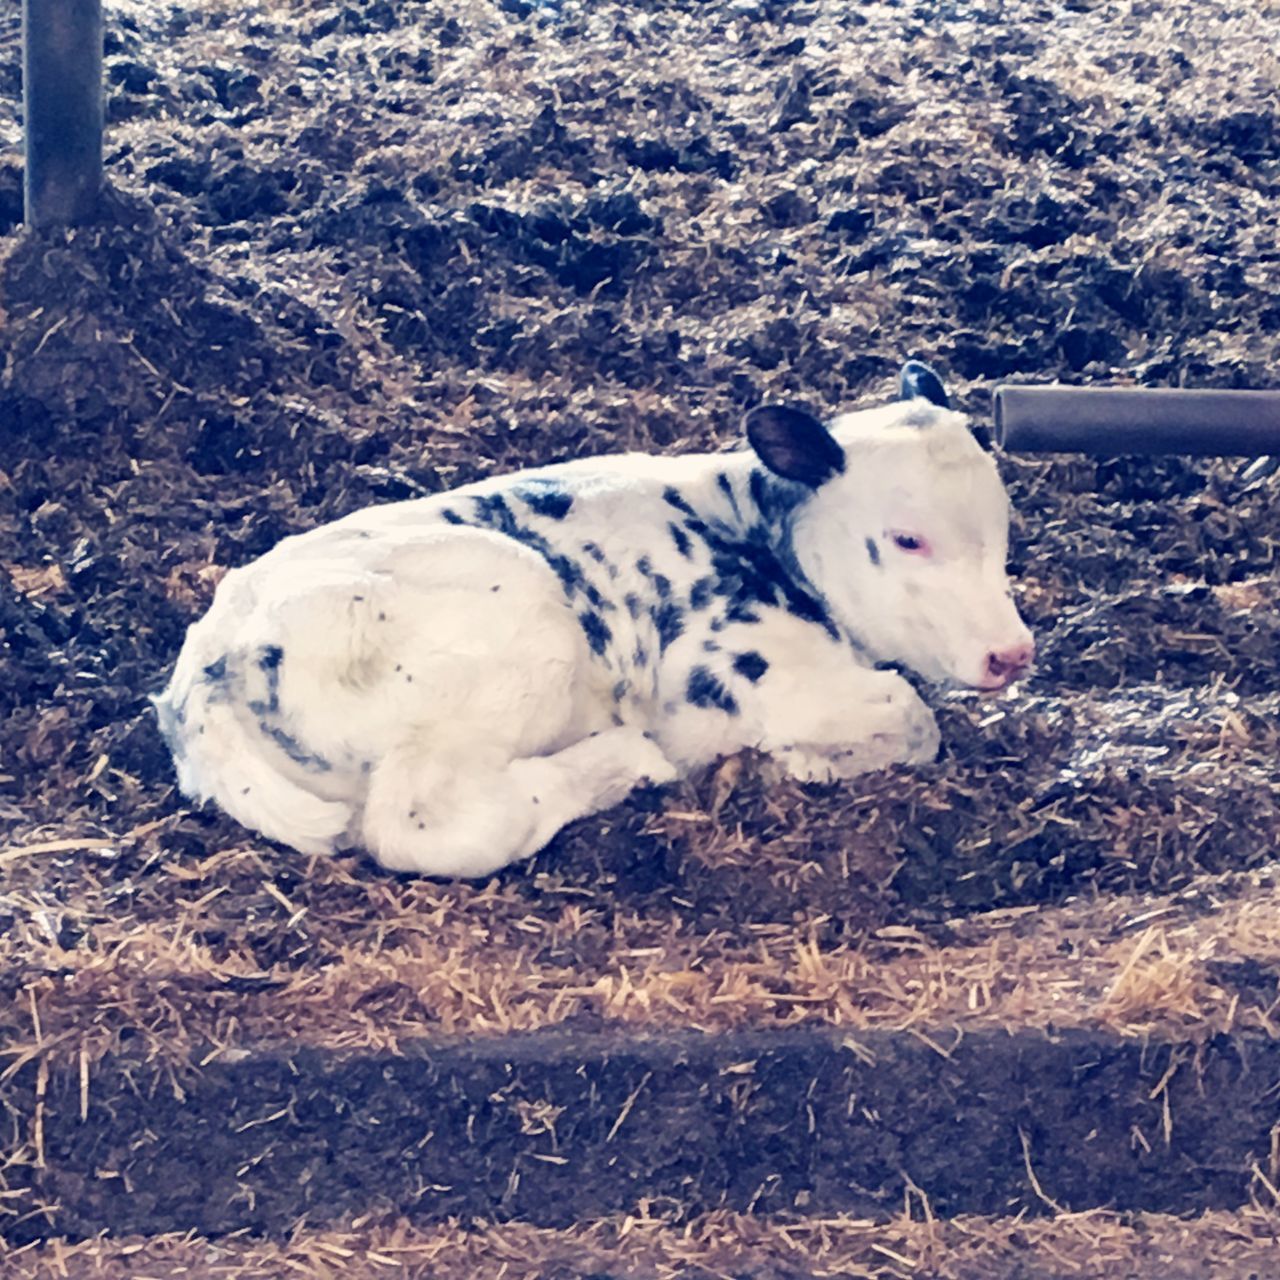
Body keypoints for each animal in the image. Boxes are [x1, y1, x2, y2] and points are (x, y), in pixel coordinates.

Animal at [154, 366, 1034, 875]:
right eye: (907, 538)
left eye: (1004, 526)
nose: (1012, 654)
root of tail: (209, 669)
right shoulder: (748, 677)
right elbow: (914, 717)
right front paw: (789, 761)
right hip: (520, 632)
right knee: (421, 823)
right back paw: (621, 763)